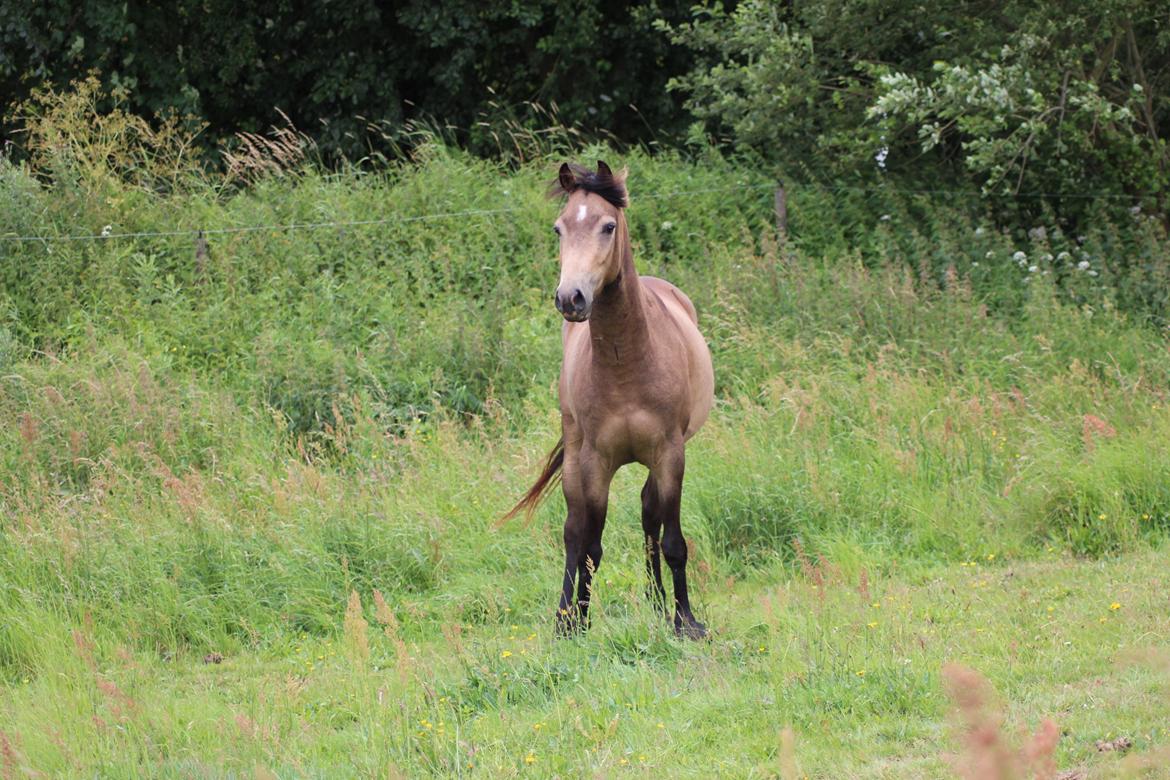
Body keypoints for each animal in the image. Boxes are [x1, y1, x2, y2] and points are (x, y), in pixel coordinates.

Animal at [503, 160, 711, 640]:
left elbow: (673, 540)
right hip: (576, 453)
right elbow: (588, 544)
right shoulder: (595, 460)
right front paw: (576, 621)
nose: (570, 298)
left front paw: (685, 621)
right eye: (559, 228)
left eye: (608, 226)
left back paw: (657, 600)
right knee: (573, 532)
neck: (628, 362)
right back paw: (565, 615)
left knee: (649, 514)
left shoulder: (671, 453)